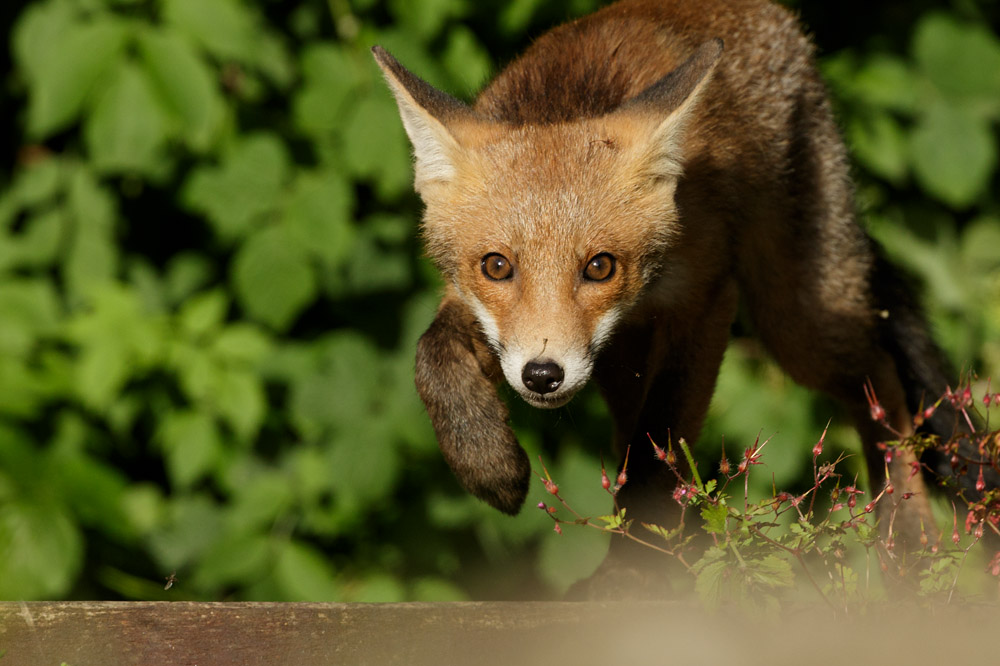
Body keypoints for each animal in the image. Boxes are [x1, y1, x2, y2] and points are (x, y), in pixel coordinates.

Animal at [373, 0, 993, 577]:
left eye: (600, 267)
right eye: (497, 266)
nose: (543, 376)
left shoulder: (705, 299)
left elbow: (662, 442)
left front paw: (628, 578)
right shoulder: (475, 306)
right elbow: (432, 356)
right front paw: (490, 468)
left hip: (796, 319)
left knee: (882, 377)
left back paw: (904, 537)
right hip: (624, 363)